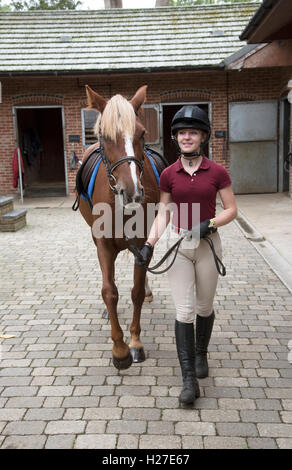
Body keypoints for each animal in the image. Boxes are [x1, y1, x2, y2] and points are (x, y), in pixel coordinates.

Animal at [78, 86, 160, 370]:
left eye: (142, 133)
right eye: (105, 136)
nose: (132, 192)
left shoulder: (143, 240)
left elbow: (136, 291)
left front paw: (134, 343)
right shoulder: (103, 243)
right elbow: (110, 291)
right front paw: (119, 349)